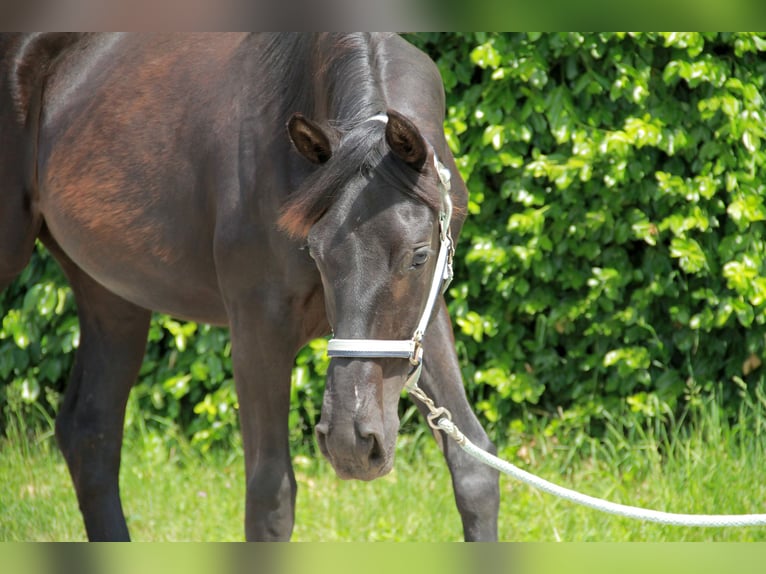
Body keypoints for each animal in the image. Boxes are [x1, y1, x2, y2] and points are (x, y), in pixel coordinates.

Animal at [0, 32, 499, 541]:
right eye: (315, 251)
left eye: (419, 255)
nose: (352, 442)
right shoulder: (258, 333)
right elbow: (270, 496)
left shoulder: (424, 320)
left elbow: (474, 467)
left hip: (112, 294)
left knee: (90, 432)